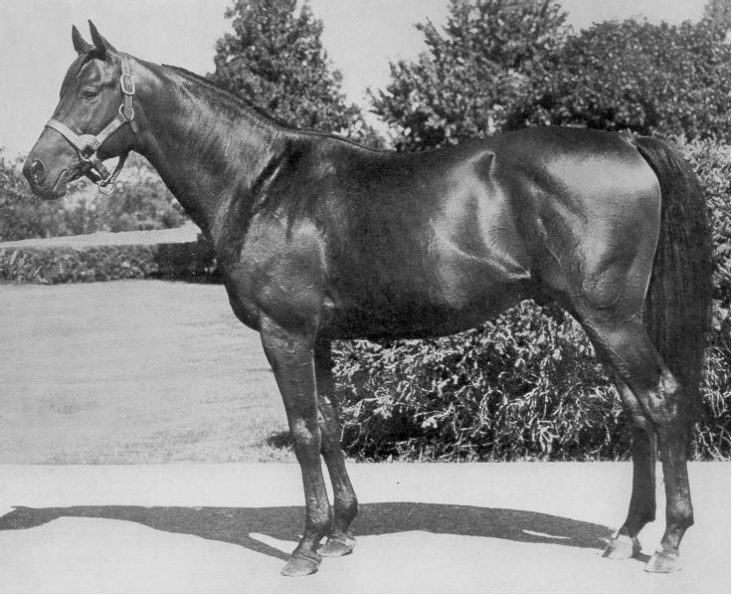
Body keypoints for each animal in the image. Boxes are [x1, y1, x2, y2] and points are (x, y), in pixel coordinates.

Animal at [24, 22, 712, 577]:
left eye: (91, 90)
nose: (33, 171)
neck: (261, 183)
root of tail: (628, 143)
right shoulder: (319, 337)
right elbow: (331, 426)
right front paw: (341, 534)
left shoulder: (284, 334)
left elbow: (303, 432)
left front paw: (305, 548)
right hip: (601, 320)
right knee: (637, 409)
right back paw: (626, 535)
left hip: (609, 318)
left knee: (662, 399)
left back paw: (670, 543)